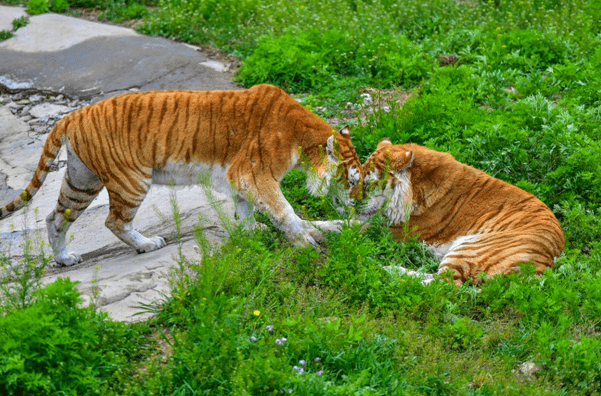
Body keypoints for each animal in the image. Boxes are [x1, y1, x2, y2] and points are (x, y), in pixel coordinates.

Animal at [0, 85, 364, 268]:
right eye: (351, 179)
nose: (359, 203)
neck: (302, 138)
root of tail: (71, 116)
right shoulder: (253, 174)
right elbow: (285, 211)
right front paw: (305, 243)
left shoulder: (242, 179)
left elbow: (253, 212)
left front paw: (257, 233)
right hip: (131, 180)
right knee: (114, 221)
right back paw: (148, 244)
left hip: (82, 180)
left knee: (55, 217)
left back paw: (64, 259)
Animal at [360, 139, 564, 284]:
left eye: (369, 183)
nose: (355, 202)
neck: (417, 187)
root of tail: (545, 265)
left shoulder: (406, 230)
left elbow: (363, 226)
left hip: (470, 248)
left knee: (446, 285)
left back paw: (386, 271)